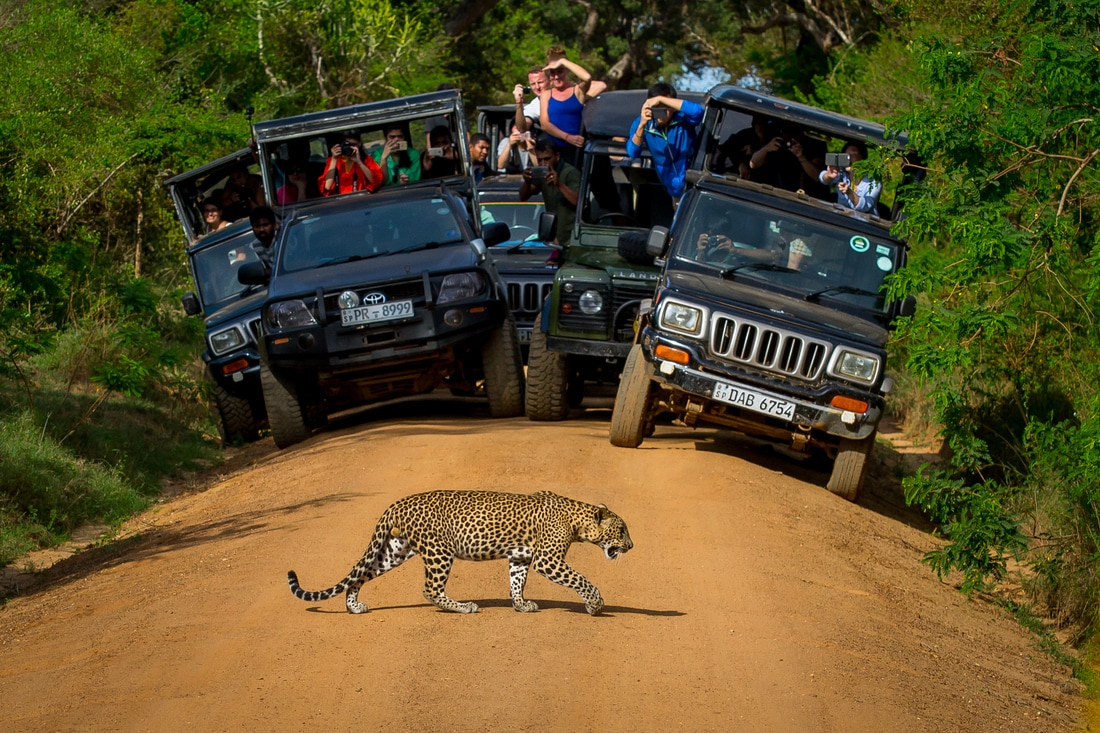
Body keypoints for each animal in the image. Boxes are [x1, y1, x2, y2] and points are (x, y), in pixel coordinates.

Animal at [287, 489, 633, 615]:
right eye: (622, 530)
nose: (631, 546)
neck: (578, 521)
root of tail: (398, 503)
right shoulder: (548, 560)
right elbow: (581, 579)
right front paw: (595, 604)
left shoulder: (520, 556)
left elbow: (516, 582)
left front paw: (521, 605)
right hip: (439, 552)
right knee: (430, 589)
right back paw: (464, 607)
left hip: (395, 550)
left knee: (360, 574)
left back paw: (354, 606)